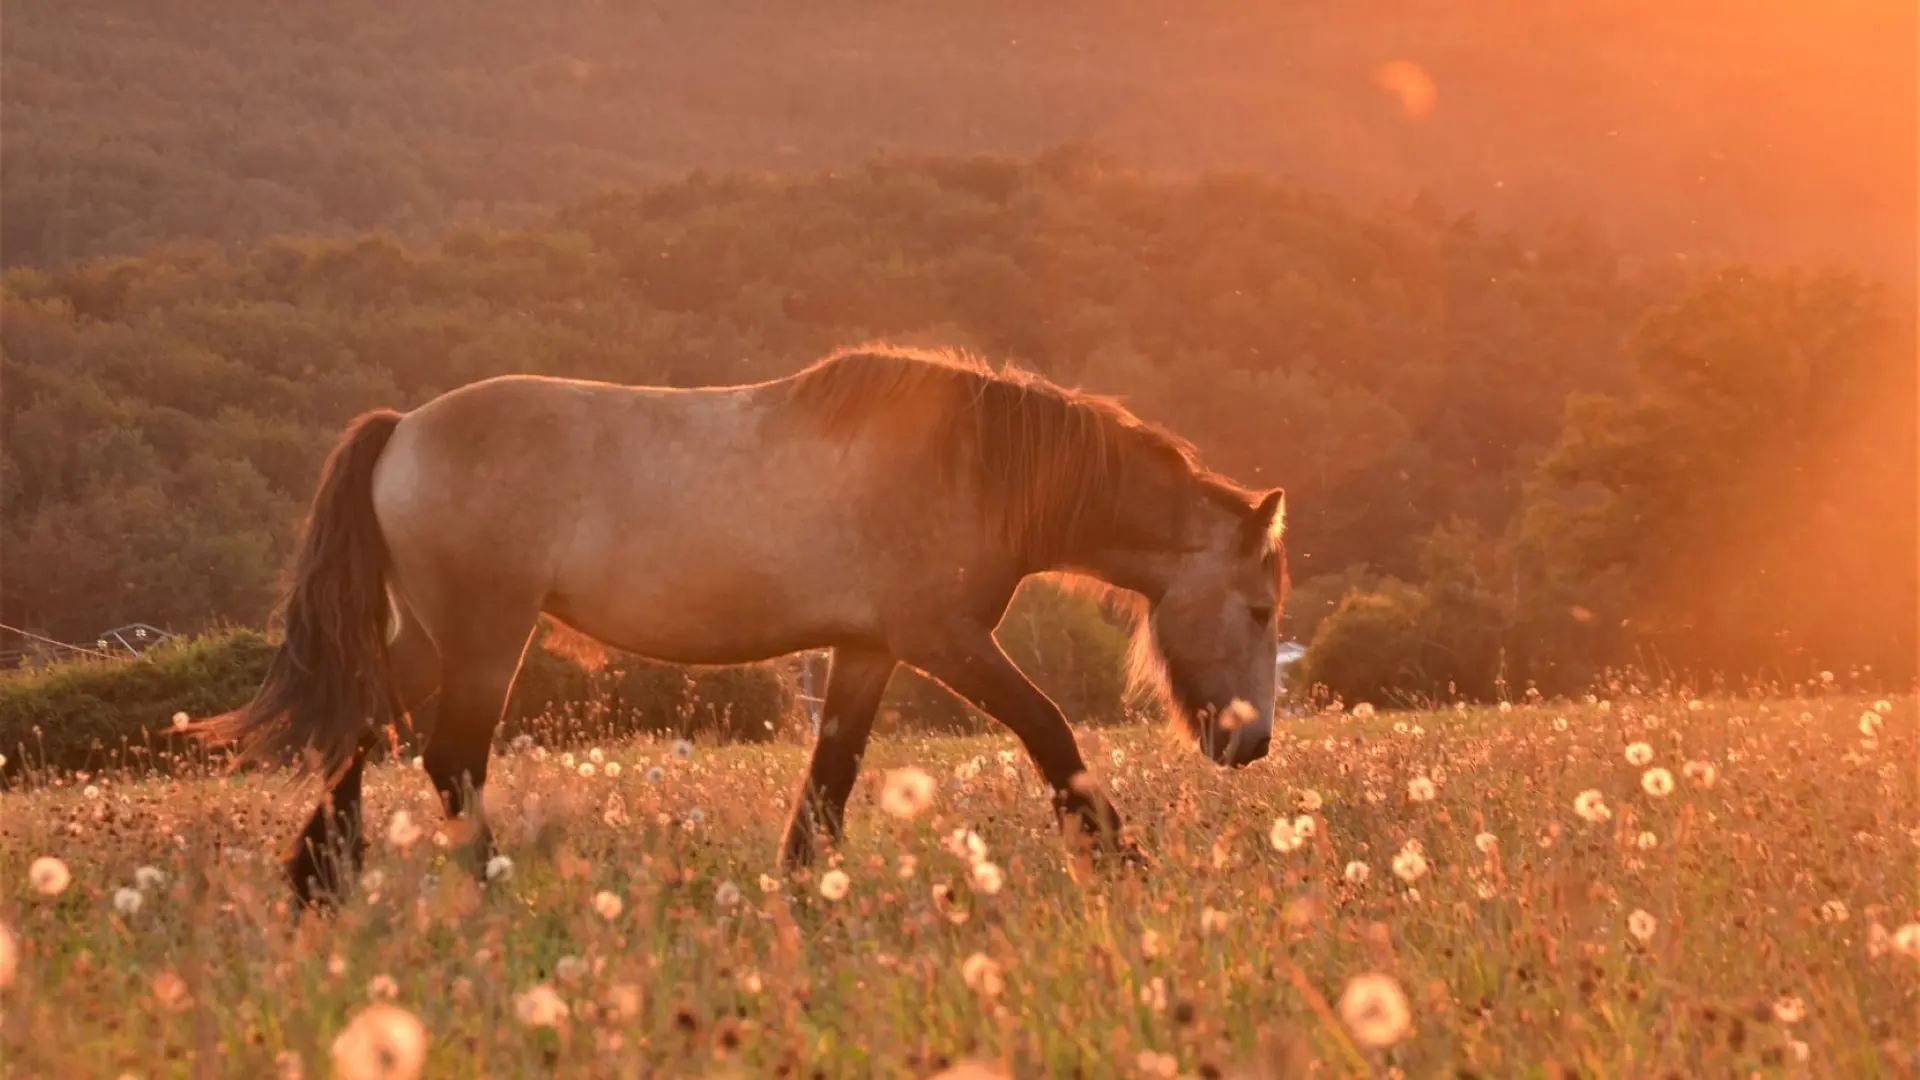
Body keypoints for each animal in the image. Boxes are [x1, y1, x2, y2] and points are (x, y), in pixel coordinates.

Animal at [194, 345, 1289, 907]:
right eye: (1261, 606)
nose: (1251, 744)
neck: (974, 464)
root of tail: (403, 430)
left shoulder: (868, 650)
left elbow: (830, 778)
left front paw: (800, 888)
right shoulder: (942, 640)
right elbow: (1051, 732)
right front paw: (1124, 858)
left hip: (434, 639)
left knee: (361, 726)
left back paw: (319, 884)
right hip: (484, 639)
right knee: (448, 758)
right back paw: (490, 887)